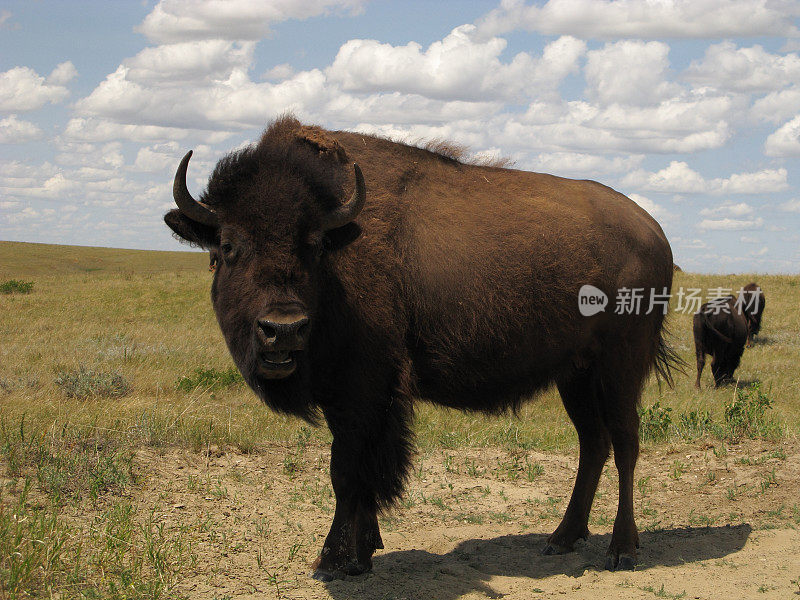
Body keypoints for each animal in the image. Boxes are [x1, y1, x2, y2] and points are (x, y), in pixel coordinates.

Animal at [166, 115, 680, 580]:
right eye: (228, 246)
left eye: (313, 245)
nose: (283, 328)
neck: (341, 245)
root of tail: (654, 232)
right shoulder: (355, 399)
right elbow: (361, 472)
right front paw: (364, 551)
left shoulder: (361, 391)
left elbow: (347, 471)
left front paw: (332, 563)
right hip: (575, 375)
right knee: (593, 443)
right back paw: (562, 538)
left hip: (621, 367)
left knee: (626, 441)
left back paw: (622, 550)